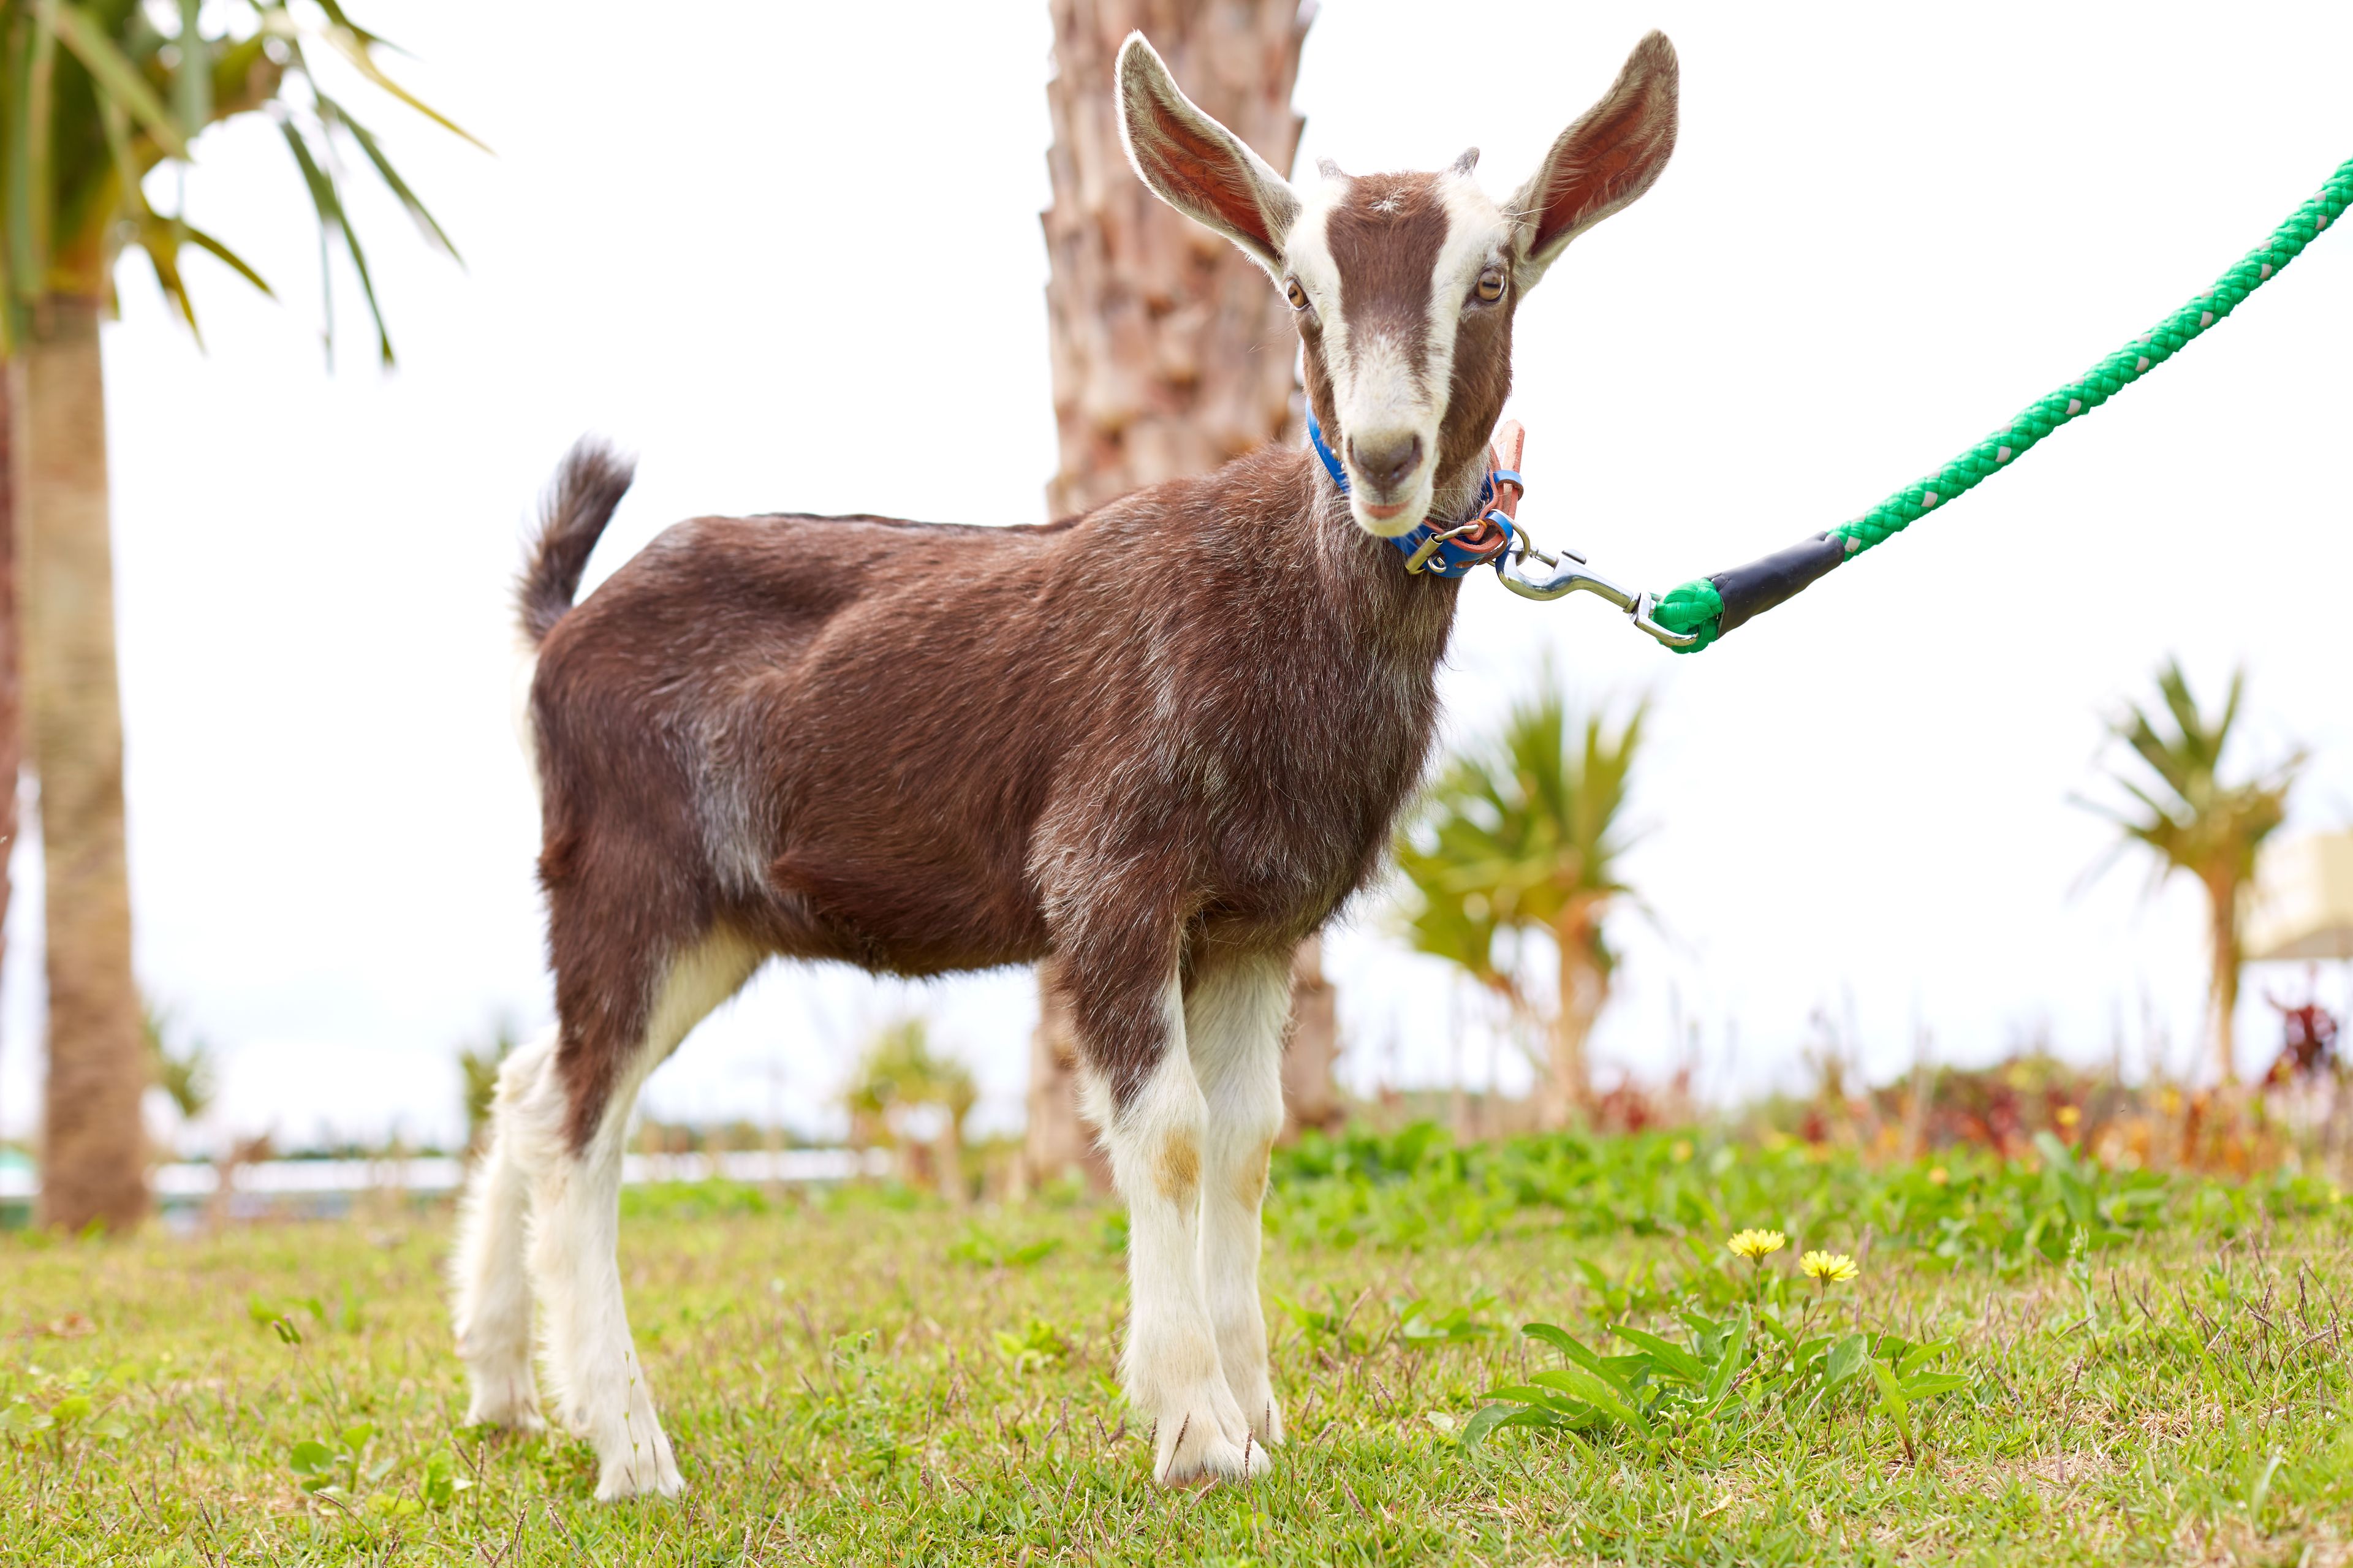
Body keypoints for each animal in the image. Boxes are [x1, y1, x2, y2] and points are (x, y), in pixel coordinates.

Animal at [450, 30, 1678, 1500]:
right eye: (1299, 291)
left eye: (1489, 281)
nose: (1387, 457)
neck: (1287, 607)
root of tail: (560, 627)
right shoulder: (1111, 880)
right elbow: (1169, 1132)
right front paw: (1197, 1427)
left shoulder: (1256, 921)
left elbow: (1249, 1142)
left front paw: (1257, 1407)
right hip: (628, 877)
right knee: (581, 1120)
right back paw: (632, 1449)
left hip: (718, 920)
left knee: (533, 1083)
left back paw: (510, 1390)